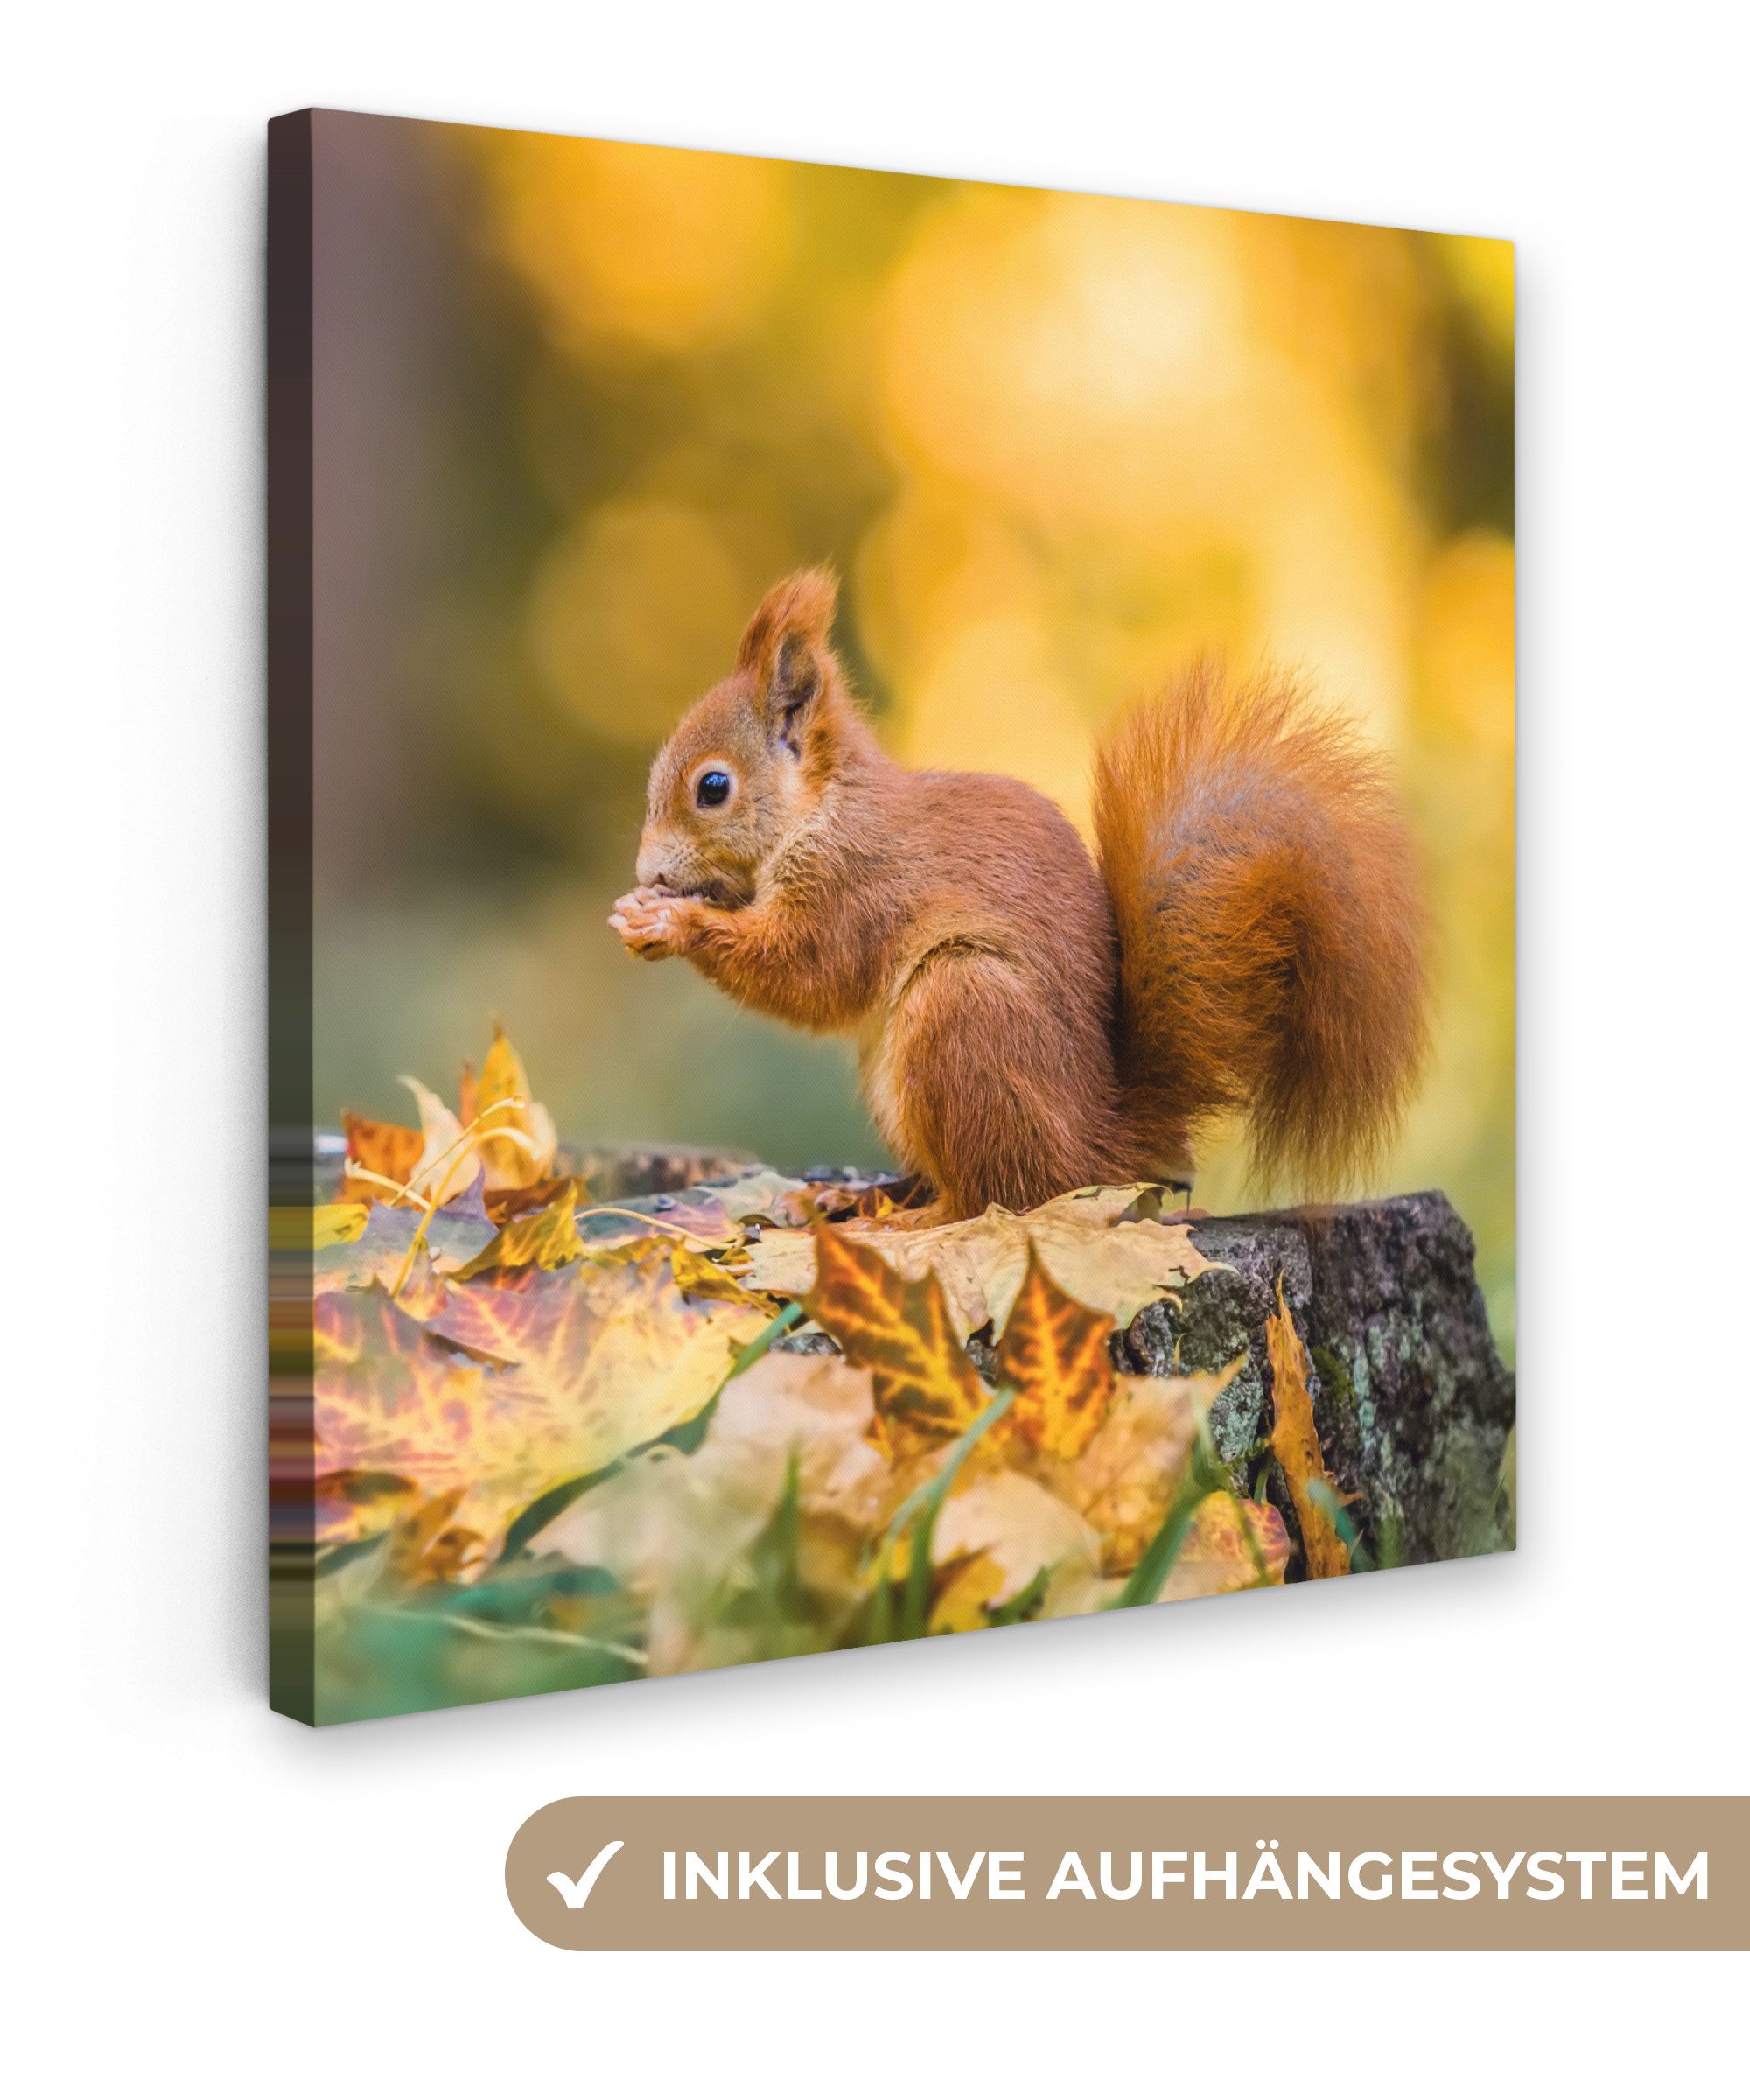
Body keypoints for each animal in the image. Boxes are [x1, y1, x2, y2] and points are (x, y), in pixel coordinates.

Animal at [610, 569, 1430, 1225]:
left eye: (713, 787)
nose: (648, 872)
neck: (822, 808)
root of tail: (1103, 1147)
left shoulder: (855, 884)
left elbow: (807, 973)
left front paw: (673, 922)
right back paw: (863, 1196)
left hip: (963, 1012)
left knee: (999, 1197)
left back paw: (911, 1222)